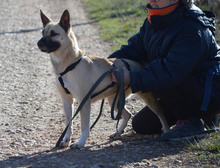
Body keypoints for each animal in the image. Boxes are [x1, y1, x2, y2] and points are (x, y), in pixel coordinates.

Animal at [37, 9, 169, 148]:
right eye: (43, 32)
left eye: (54, 34)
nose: (38, 43)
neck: (69, 65)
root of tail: (139, 62)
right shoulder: (67, 102)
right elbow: (69, 124)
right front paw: (66, 140)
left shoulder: (84, 103)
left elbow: (84, 127)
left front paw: (81, 142)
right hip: (114, 102)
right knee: (127, 114)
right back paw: (118, 132)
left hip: (147, 98)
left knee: (160, 113)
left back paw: (166, 132)